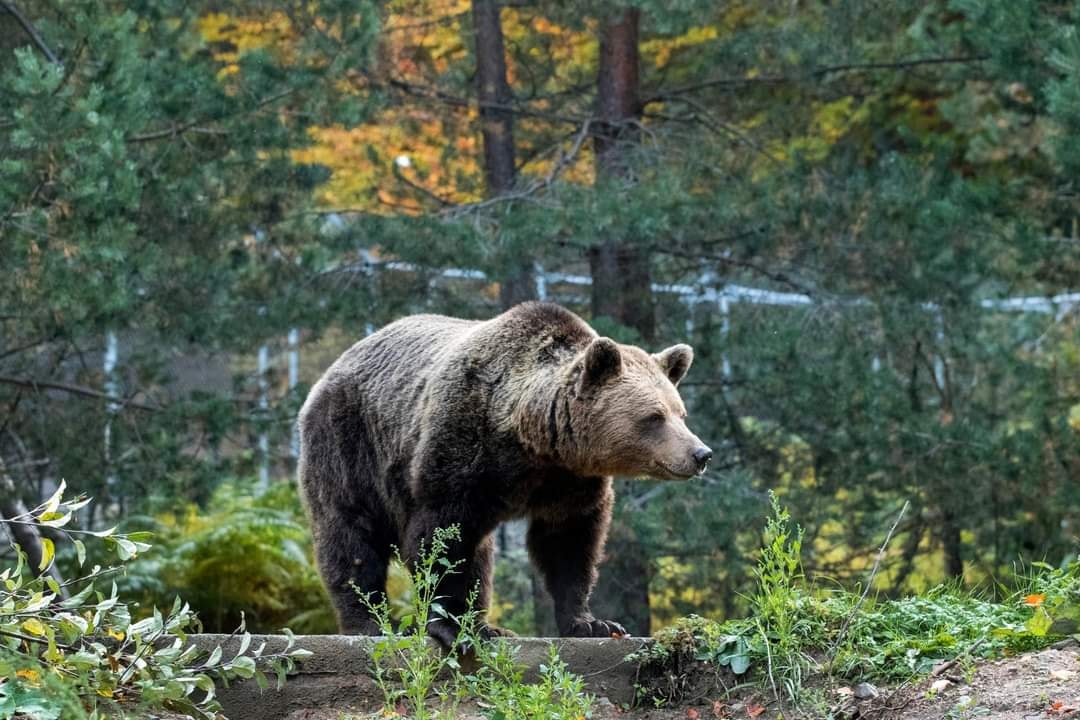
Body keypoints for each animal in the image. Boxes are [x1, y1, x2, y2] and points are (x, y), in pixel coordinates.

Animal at [300, 302, 712, 643]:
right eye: (654, 417)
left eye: (681, 413)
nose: (700, 454)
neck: (529, 441)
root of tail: (335, 366)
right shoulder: (461, 451)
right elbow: (440, 540)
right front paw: (451, 626)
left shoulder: (569, 482)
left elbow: (570, 545)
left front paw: (590, 622)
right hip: (349, 445)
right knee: (350, 536)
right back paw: (370, 623)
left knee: (481, 558)